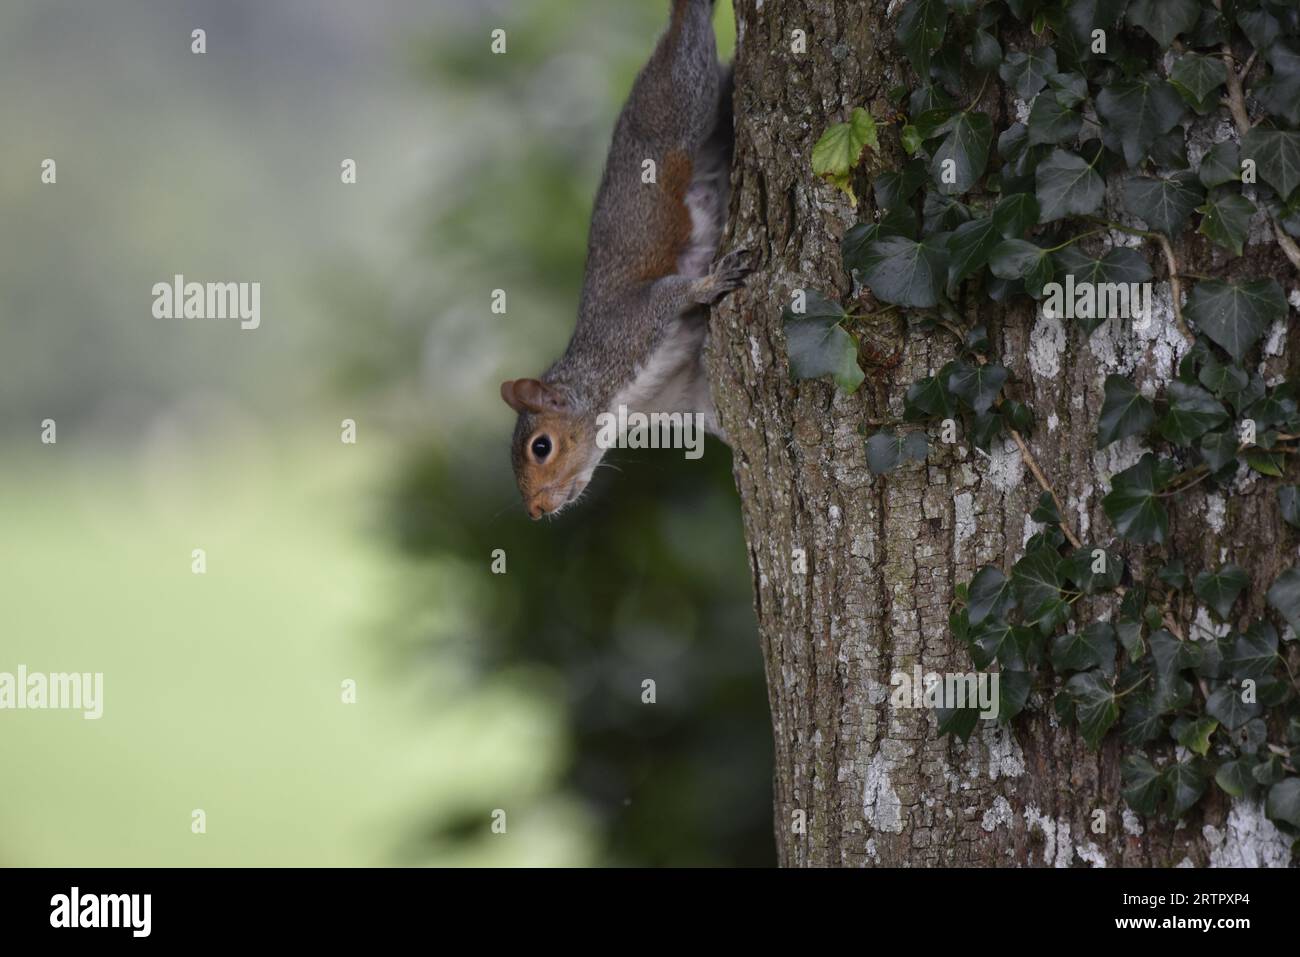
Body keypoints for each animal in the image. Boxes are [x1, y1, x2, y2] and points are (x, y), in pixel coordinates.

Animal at [499, 0, 754, 520]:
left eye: (541, 447)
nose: (535, 511)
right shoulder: (686, 395)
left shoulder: (632, 326)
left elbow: (671, 292)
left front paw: (710, 282)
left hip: (684, 101)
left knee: (691, 41)